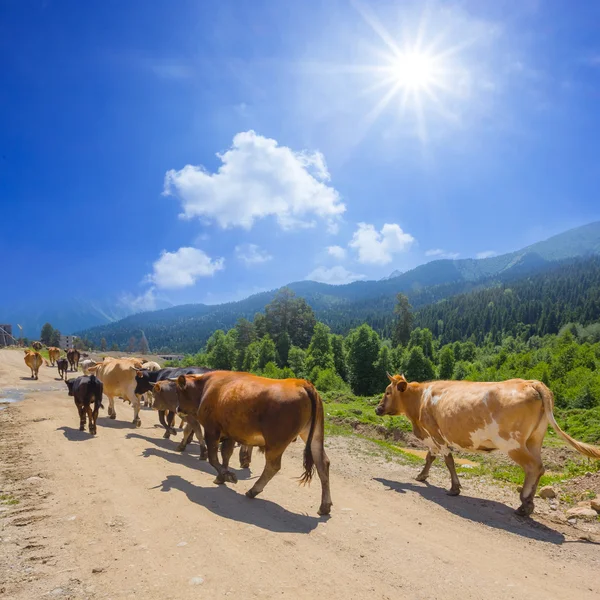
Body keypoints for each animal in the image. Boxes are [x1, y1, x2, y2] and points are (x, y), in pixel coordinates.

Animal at [173, 370, 332, 516]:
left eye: (179, 391)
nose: (178, 409)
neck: (205, 386)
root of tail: (300, 382)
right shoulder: (230, 432)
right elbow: (226, 455)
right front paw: (221, 477)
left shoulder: (212, 429)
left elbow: (213, 458)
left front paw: (227, 475)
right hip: (314, 435)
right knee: (322, 462)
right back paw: (325, 506)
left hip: (276, 442)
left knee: (273, 466)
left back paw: (253, 490)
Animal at [376, 376, 600, 516]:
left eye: (387, 392)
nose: (377, 409)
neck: (421, 398)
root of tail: (531, 383)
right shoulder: (432, 436)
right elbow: (430, 456)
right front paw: (422, 476)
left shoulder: (434, 433)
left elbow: (448, 460)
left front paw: (454, 488)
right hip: (535, 439)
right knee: (540, 467)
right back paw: (527, 504)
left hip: (512, 443)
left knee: (534, 467)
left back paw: (525, 504)